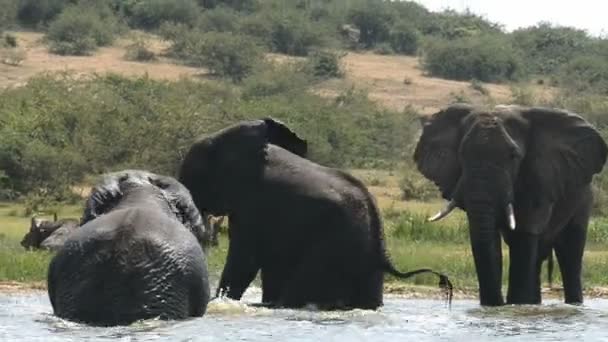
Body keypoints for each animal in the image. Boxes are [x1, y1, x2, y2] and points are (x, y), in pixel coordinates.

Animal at [414, 103, 608, 306]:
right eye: (461, 154)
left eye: (513, 156)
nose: (498, 303)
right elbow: (489, 237)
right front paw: (499, 307)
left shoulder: (538, 179)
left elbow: (524, 235)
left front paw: (515, 304)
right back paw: (534, 303)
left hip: (584, 198)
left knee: (569, 252)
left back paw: (572, 304)